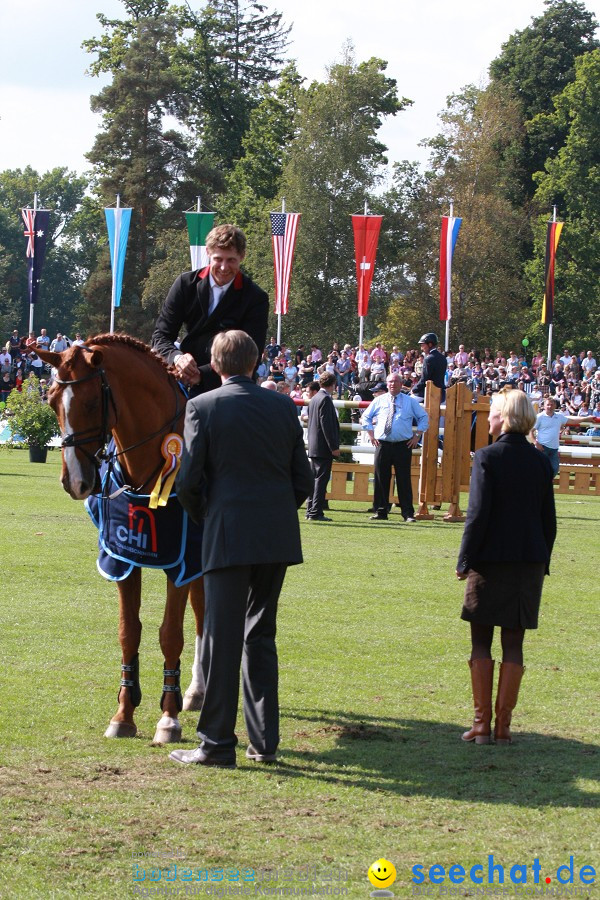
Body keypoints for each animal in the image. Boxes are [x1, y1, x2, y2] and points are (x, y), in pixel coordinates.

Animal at [38, 334, 206, 740]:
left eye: (90, 402)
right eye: (51, 400)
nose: (75, 482)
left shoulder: (181, 562)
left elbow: (170, 633)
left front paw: (168, 717)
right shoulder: (124, 559)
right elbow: (129, 632)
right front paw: (124, 713)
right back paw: (196, 692)